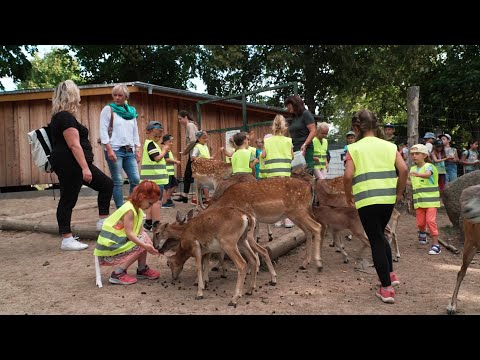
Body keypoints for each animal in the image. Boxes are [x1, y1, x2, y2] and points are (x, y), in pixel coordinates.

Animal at [150, 207, 278, 306]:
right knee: (254, 258)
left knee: (243, 264)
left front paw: (199, 292)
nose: (157, 247)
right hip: (242, 240)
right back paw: (250, 290)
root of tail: (247, 217)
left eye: (157, 233)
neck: (185, 231)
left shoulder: (196, 247)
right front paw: (206, 282)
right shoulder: (207, 251)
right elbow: (206, 263)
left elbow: (199, 266)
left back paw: (234, 299)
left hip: (229, 244)